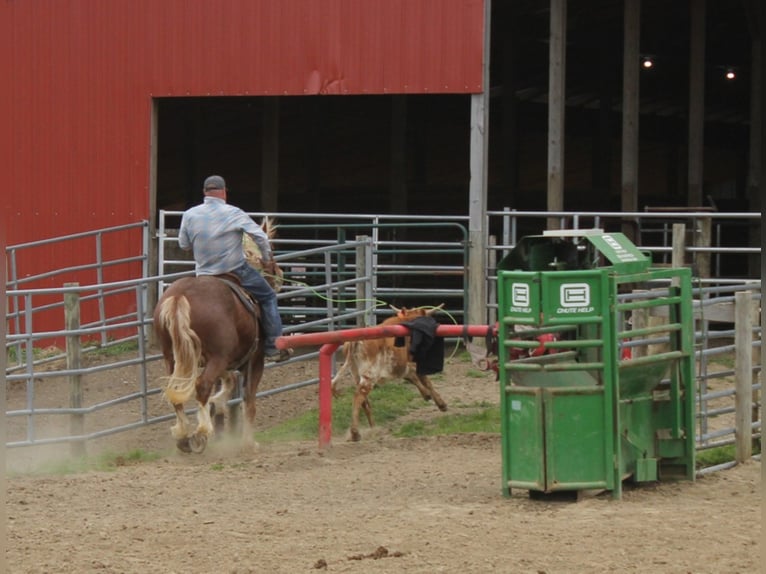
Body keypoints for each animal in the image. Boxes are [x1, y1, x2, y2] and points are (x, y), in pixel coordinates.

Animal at [153, 219, 282, 454]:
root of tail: (179, 297)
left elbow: (229, 383)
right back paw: (202, 432)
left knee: (176, 390)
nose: (279, 272)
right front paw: (249, 442)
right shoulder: (253, 360)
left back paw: (183, 435)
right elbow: (249, 400)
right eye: (271, 247)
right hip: (216, 357)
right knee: (202, 385)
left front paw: (217, 404)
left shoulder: (225, 361)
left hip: (172, 356)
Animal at [332, 306, 448, 440]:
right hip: (369, 376)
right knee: (358, 397)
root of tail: (354, 342)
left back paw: (373, 428)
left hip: (356, 375)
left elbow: (412, 377)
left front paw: (427, 395)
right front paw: (441, 404)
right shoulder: (413, 363)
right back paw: (355, 433)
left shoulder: (402, 366)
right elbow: (425, 380)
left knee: (364, 402)